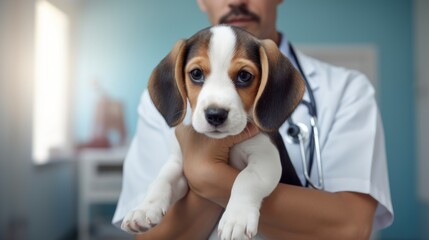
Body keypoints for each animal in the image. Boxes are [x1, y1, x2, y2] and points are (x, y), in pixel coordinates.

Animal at [121, 25, 304, 239]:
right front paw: (144, 209)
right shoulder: (180, 163)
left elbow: (246, 178)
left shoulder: (266, 157)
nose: (215, 114)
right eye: (196, 73)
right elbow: (161, 179)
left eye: (244, 76)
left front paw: (236, 218)